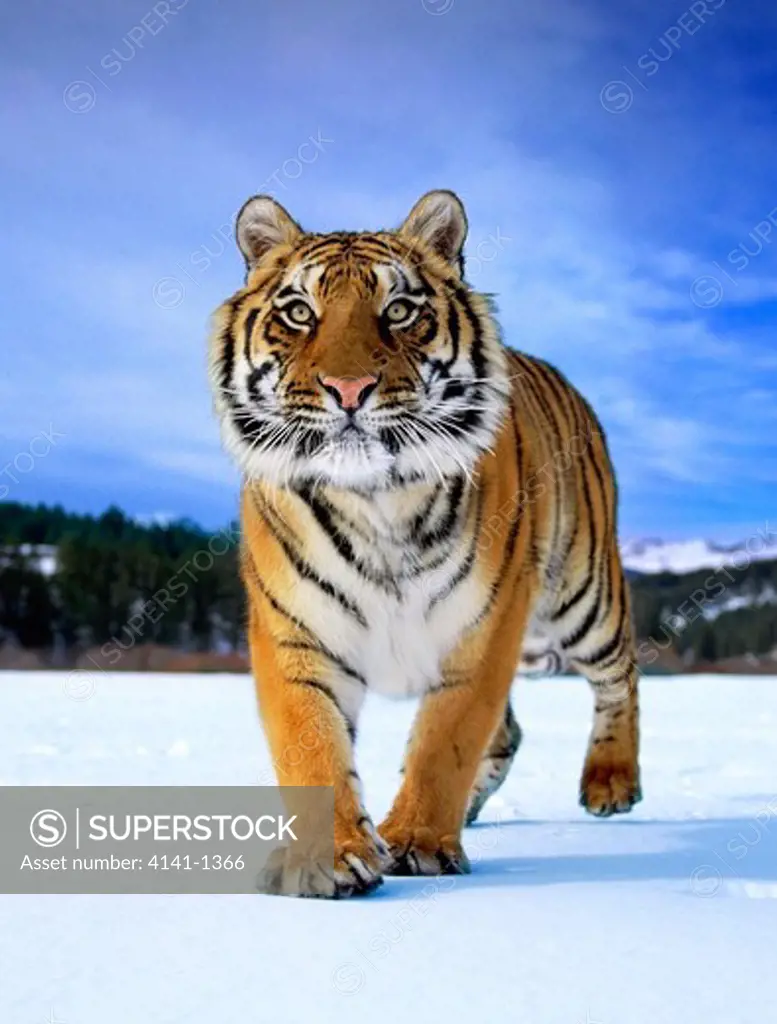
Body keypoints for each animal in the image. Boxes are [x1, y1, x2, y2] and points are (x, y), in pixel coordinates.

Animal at [209, 188, 642, 892]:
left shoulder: (484, 625)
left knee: (620, 673)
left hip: (584, 596)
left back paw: (611, 783)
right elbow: (311, 744)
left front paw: (417, 842)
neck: (375, 500)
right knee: (510, 733)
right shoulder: (296, 631)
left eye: (399, 309)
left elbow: (447, 738)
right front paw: (325, 859)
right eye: (299, 313)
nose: (348, 390)